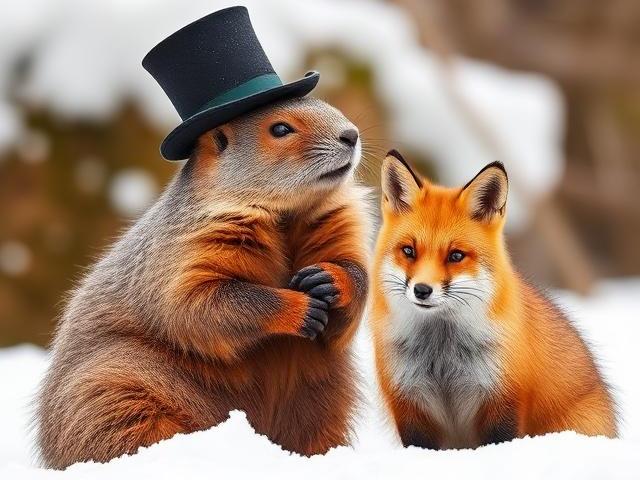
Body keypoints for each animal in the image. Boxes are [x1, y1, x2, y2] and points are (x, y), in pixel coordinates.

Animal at [370, 150, 617, 449]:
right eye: (408, 251)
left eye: (455, 256)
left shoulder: (503, 399)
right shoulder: (408, 405)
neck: (442, 357)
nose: (422, 290)